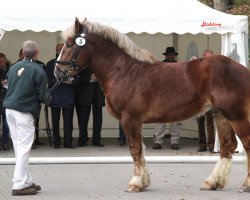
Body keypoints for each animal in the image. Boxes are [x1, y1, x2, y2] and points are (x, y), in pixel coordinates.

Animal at [55, 18, 250, 193]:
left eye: (70, 44)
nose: (57, 73)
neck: (124, 71)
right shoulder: (134, 121)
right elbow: (140, 150)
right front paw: (143, 181)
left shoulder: (130, 119)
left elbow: (135, 149)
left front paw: (135, 183)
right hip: (221, 115)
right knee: (227, 145)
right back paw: (213, 182)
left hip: (236, 116)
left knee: (246, 144)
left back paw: (245, 185)